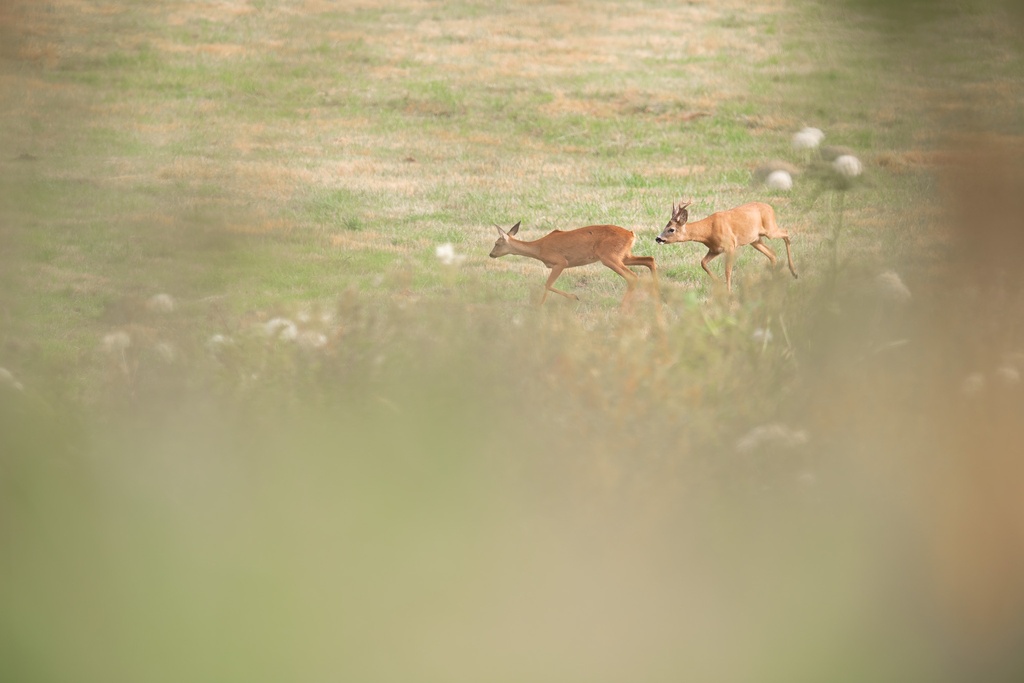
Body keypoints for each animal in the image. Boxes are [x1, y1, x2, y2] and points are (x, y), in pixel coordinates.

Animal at [485, 222, 655, 307]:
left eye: (496, 243)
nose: (491, 254)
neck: (539, 248)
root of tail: (631, 234)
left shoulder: (560, 262)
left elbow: (547, 285)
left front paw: (573, 297)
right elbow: (547, 285)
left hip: (609, 257)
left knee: (632, 276)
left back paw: (624, 306)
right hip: (624, 255)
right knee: (650, 260)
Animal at [655, 200, 798, 290]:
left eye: (671, 229)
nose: (658, 238)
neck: (708, 230)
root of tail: (770, 207)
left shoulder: (730, 246)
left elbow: (727, 271)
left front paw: (729, 292)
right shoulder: (714, 249)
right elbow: (703, 263)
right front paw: (718, 283)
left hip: (770, 229)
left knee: (786, 233)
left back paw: (794, 272)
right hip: (755, 240)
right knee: (772, 254)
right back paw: (774, 281)